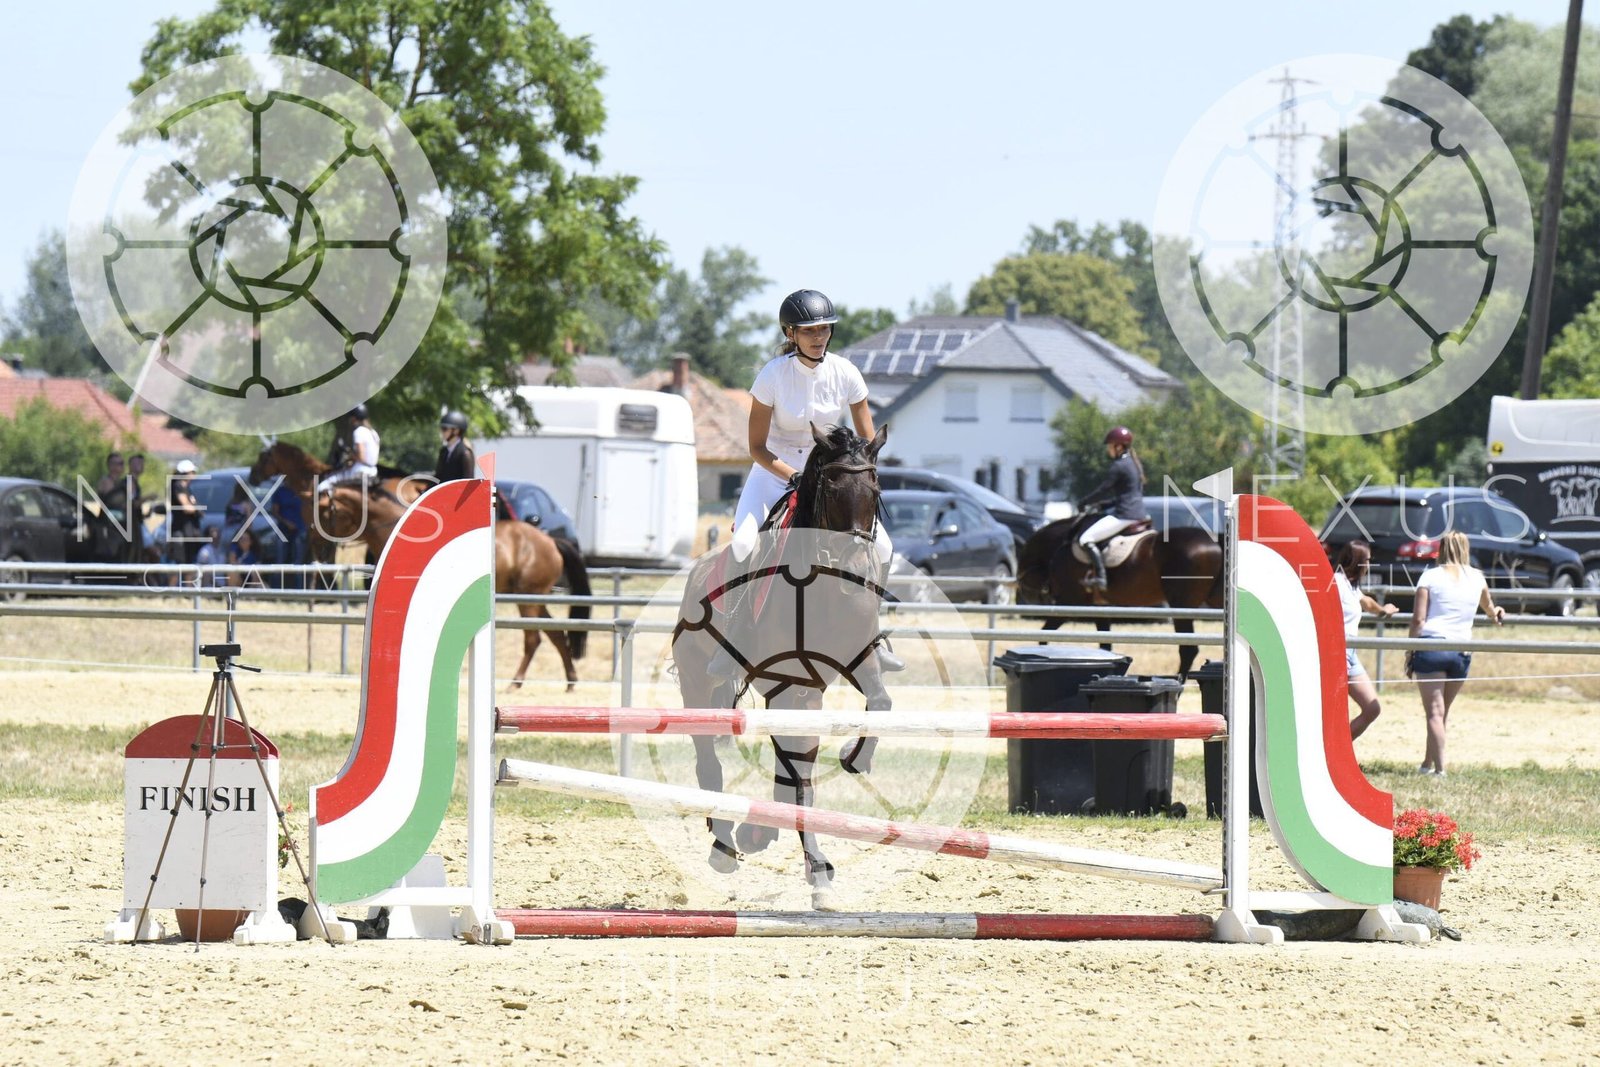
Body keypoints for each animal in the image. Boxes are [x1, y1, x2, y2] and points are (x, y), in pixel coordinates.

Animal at [317, 482, 592, 691]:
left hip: (529, 597)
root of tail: (550, 540)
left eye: (325, 513)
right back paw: (570, 681)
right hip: (534, 598)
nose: (321, 550)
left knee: (533, 639)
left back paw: (517, 682)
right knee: (555, 634)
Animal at [671, 423, 892, 910]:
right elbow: (801, 773)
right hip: (699, 685)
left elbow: (880, 703)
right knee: (708, 761)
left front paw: (856, 759)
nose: (854, 574)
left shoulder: (855, 661)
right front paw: (817, 871)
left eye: (874, 491)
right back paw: (724, 845)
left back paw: (757, 831)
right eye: (831, 489)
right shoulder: (794, 684)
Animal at [1016, 512, 1223, 679]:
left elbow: (1044, 635)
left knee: (1188, 649)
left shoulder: (1069, 602)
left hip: (1181, 604)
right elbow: (1105, 646)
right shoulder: (1099, 608)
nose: (1029, 598)